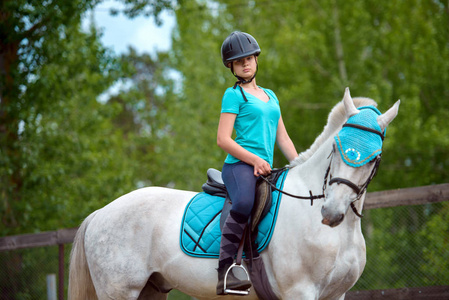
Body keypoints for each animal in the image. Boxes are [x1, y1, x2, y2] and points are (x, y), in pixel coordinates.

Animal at [69, 88, 400, 298]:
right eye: (336, 148)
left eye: (375, 158)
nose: (331, 213)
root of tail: (101, 213)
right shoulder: (300, 292)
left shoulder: (335, 295)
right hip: (119, 291)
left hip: (152, 290)